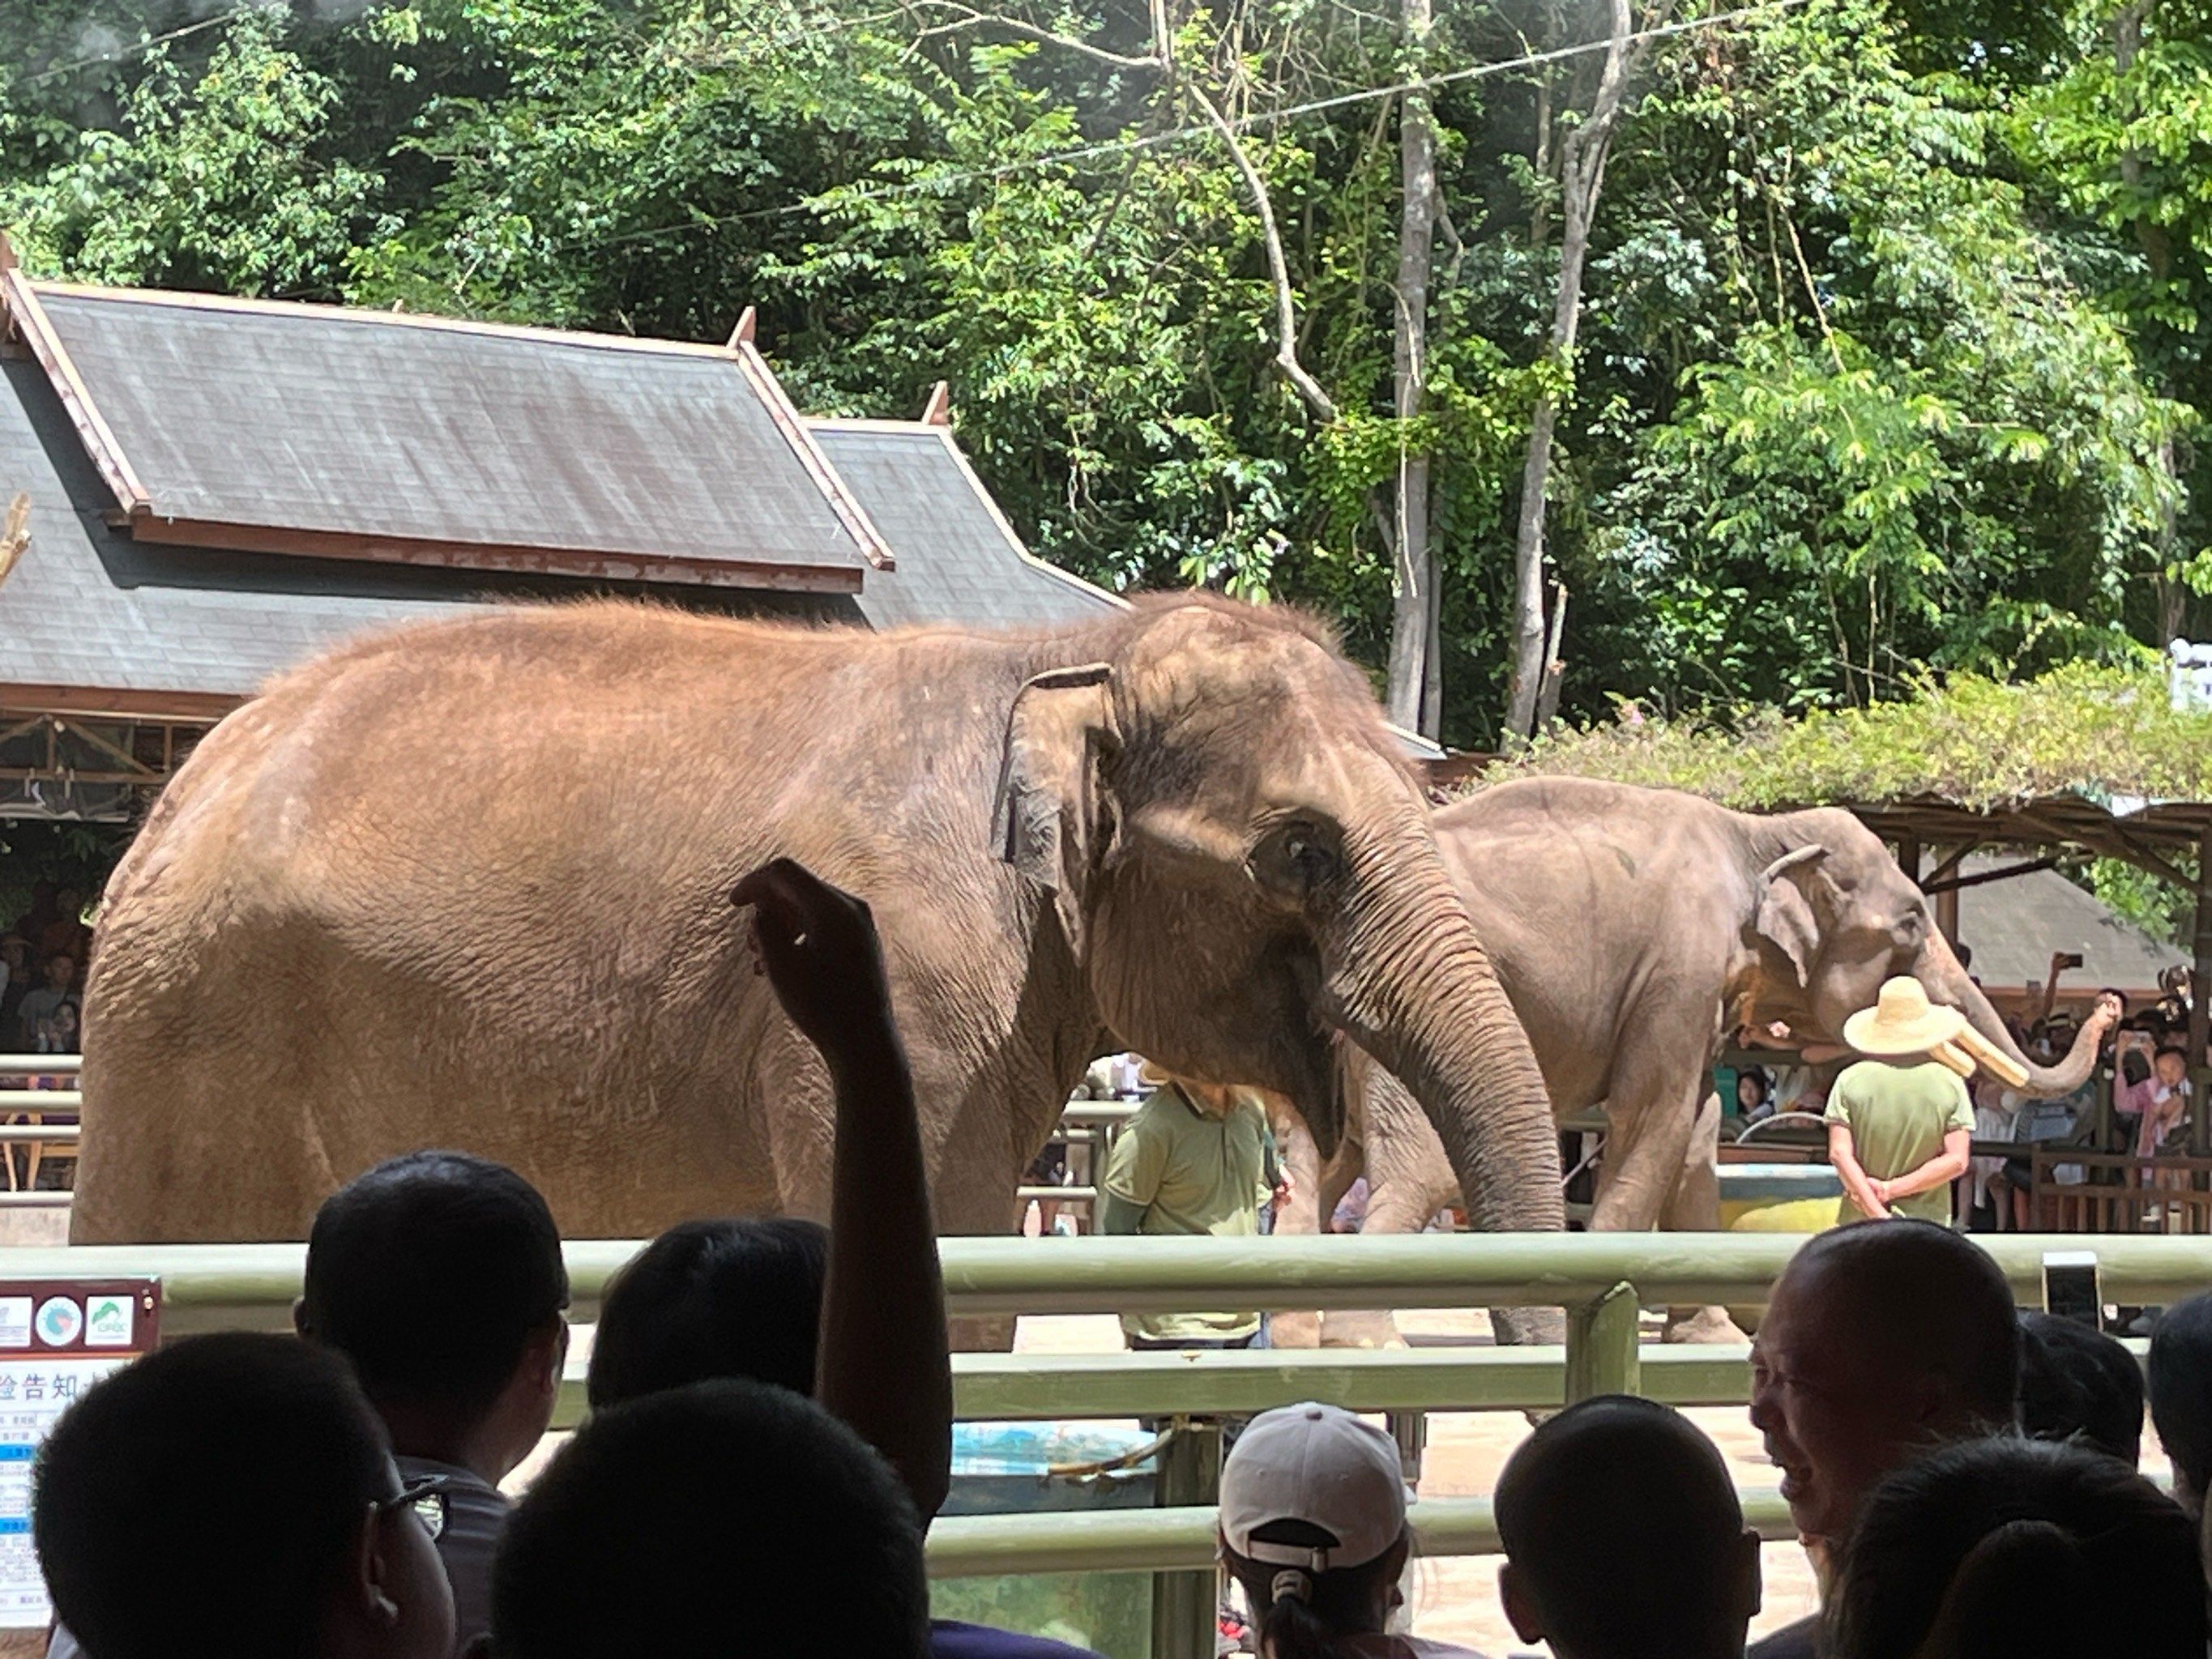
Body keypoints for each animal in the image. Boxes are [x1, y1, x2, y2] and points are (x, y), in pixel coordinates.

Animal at [1271, 775, 2105, 1346]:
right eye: (1908, 925)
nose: (2104, 1005)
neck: (1759, 833)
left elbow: (1700, 1130)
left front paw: (1708, 1335)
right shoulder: (1677, 967)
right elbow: (1657, 1116)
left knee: (1318, 1169)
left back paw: (1293, 1333)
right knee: (1420, 1170)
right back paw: (1365, 1342)